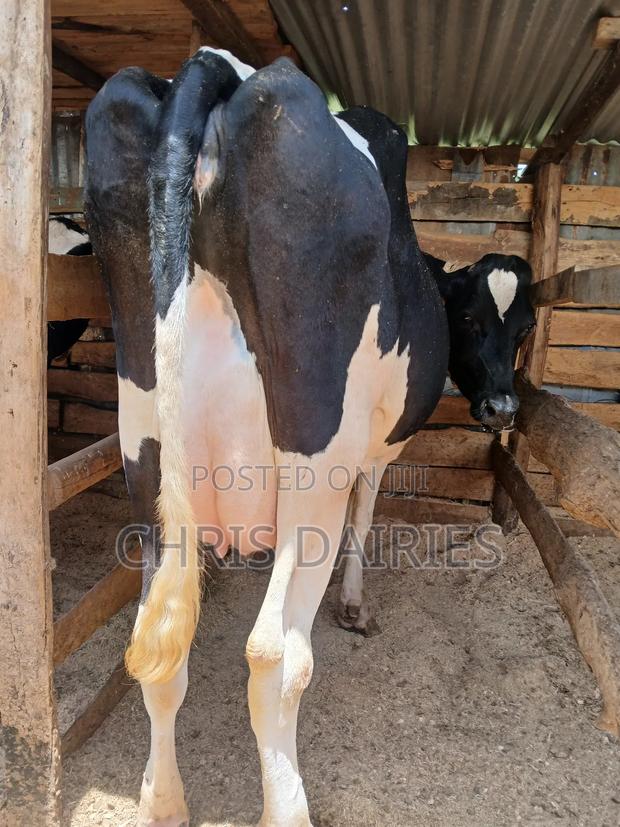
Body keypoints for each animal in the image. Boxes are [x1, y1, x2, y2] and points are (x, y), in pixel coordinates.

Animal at [84, 50, 534, 826]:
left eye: (525, 327)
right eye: (475, 322)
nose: (504, 407)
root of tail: (215, 67)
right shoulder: (372, 451)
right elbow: (366, 513)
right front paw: (353, 605)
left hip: (145, 449)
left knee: (155, 645)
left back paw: (162, 800)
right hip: (309, 462)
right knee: (274, 655)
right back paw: (287, 804)